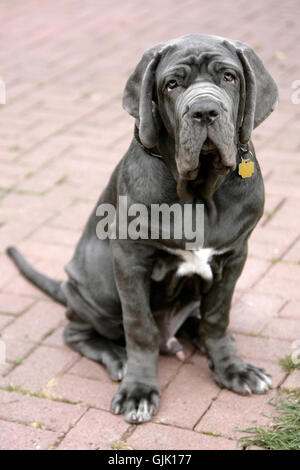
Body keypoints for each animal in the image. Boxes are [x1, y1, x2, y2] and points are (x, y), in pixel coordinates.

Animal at [7, 33, 278, 422]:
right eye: (172, 84)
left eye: (229, 77)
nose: (205, 111)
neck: (198, 192)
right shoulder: (129, 260)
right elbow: (140, 327)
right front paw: (138, 389)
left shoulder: (234, 257)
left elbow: (217, 317)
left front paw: (233, 368)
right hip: (97, 285)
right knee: (77, 330)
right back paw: (116, 357)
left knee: (199, 319)